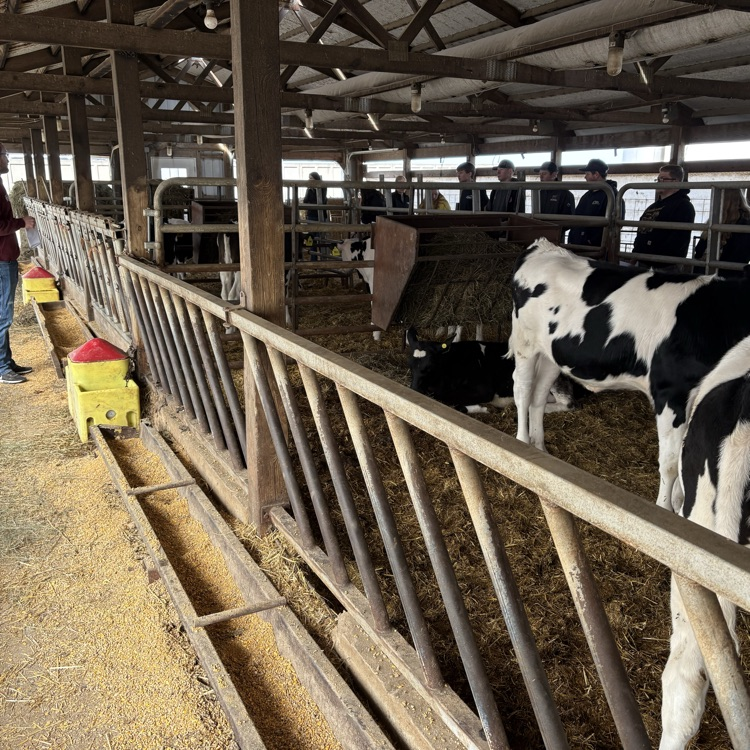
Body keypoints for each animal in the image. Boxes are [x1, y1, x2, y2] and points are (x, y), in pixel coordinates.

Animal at [405, 327, 582, 414]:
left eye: (430, 367)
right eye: (410, 365)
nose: (414, 389)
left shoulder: (485, 390)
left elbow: (449, 399)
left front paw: (482, 408)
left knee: (567, 403)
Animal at [508, 237, 750, 511]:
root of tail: (542, 246)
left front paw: (678, 503)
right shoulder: (670, 392)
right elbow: (669, 464)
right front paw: (665, 509)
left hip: (552, 354)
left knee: (538, 396)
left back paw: (539, 449)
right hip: (525, 343)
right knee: (522, 391)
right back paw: (521, 441)